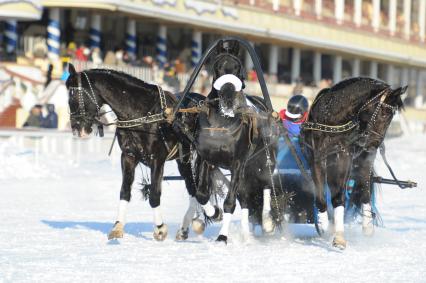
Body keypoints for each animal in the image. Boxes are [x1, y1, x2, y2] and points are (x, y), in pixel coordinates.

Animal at [66, 64, 220, 242]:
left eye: (75, 96)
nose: (78, 129)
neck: (142, 114)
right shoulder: (128, 157)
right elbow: (125, 191)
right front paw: (117, 227)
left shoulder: (157, 159)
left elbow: (154, 195)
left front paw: (160, 228)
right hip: (183, 159)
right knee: (192, 188)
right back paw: (185, 228)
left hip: (200, 156)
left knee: (200, 191)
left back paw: (213, 213)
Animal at [183, 40, 280, 244]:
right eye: (218, 66)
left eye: (237, 67)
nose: (228, 97)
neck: (222, 123)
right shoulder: (206, 159)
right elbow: (202, 195)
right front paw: (215, 213)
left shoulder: (237, 163)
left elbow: (229, 202)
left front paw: (222, 236)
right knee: (245, 198)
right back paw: (246, 234)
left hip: (264, 160)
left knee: (266, 185)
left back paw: (267, 221)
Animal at [302, 77, 404, 248]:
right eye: (384, 113)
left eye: (391, 117)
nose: (376, 144)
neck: (332, 121)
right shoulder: (316, 158)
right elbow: (321, 194)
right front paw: (324, 225)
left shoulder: (343, 159)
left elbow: (339, 196)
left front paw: (339, 236)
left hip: (364, 160)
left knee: (364, 188)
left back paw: (367, 225)